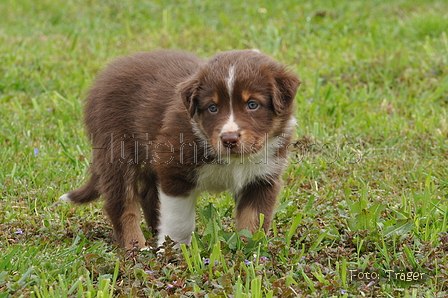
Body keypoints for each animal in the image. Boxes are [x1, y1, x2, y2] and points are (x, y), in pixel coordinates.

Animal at [58, 50, 298, 248]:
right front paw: (175, 252)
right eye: (212, 107)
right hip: (116, 150)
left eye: (252, 105)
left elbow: (253, 220)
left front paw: (249, 254)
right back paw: (136, 248)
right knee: (122, 204)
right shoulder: (174, 170)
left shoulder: (262, 178)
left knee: (147, 193)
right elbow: (179, 221)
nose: (229, 139)